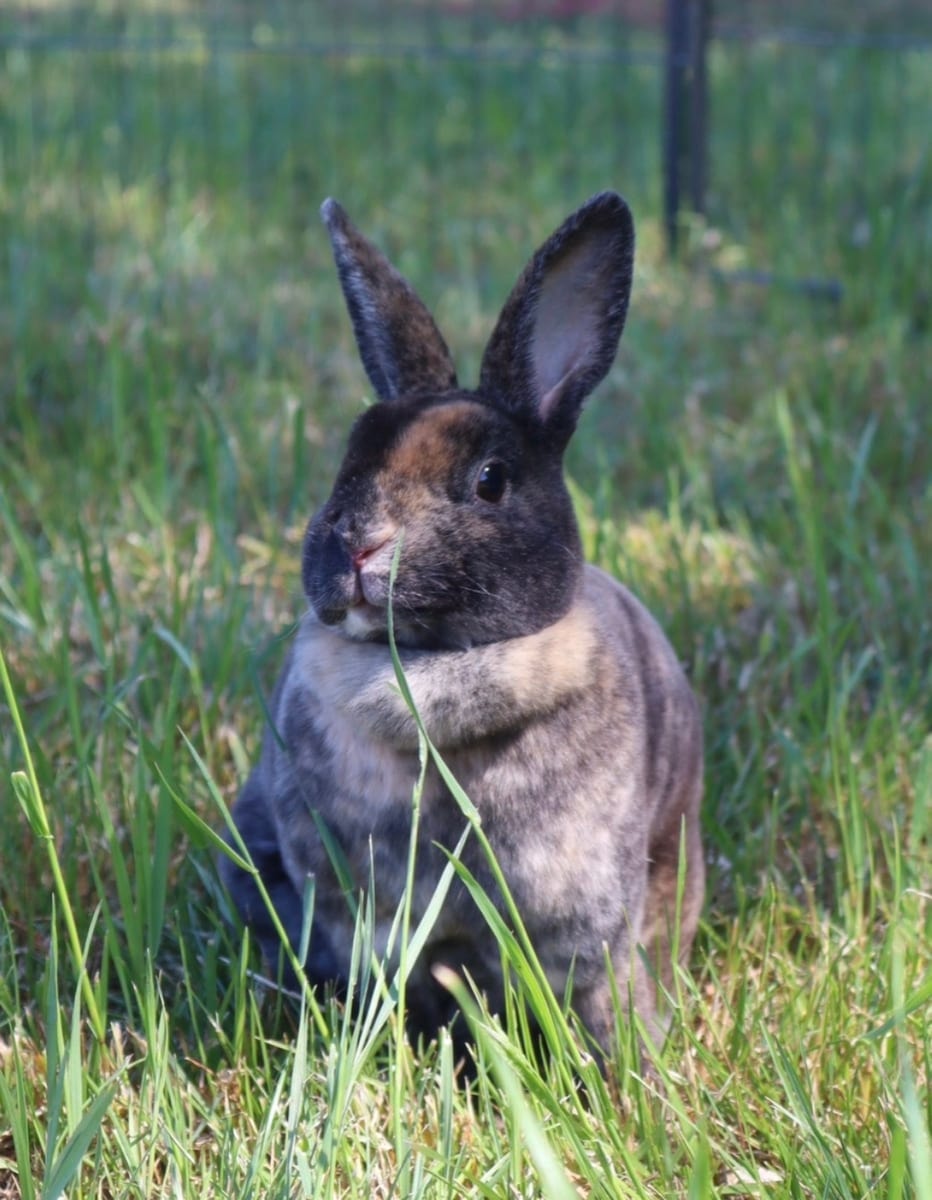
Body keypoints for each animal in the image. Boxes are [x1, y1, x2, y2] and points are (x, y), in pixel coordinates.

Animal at [221, 191, 705, 1055]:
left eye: (490, 480)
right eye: (347, 461)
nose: (358, 541)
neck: (429, 665)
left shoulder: (586, 933)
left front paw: (635, 1077)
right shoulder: (361, 921)